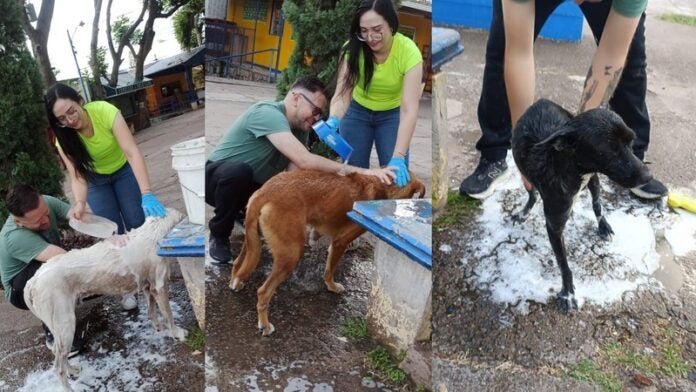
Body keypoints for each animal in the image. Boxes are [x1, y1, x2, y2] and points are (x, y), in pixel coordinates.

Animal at [24, 207, 188, 390]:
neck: (155, 229)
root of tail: (32, 281)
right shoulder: (159, 286)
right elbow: (169, 315)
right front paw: (177, 333)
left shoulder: (148, 287)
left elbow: (152, 311)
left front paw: (158, 327)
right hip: (65, 323)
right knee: (57, 367)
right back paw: (69, 387)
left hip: (58, 326)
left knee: (59, 354)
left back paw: (72, 370)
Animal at [230, 170, 424, 336]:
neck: (383, 185)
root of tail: (263, 193)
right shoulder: (340, 241)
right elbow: (330, 269)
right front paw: (331, 286)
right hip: (290, 255)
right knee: (263, 292)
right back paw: (265, 324)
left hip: (252, 241)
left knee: (238, 264)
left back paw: (236, 282)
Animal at [512, 99, 652, 314]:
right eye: (609, 150)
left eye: (631, 141)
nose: (648, 177)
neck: (565, 166)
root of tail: (541, 101)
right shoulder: (554, 226)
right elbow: (563, 264)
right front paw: (568, 294)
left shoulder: (593, 178)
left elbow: (597, 206)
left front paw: (604, 226)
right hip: (526, 177)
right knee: (532, 194)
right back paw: (524, 212)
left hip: (594, 182)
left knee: (596, 205)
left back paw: (603, 226)